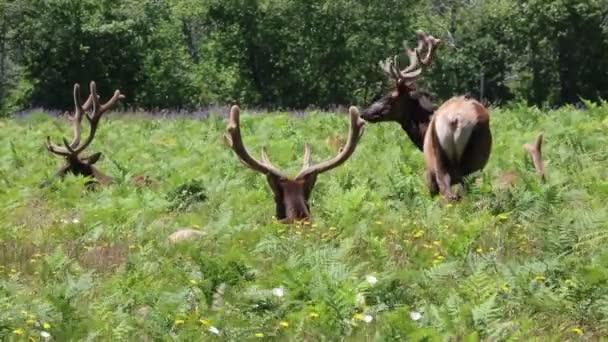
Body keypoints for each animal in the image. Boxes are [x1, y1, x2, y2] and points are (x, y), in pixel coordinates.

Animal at [358, 31, 492, 202]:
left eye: (390, 97)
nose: (364, 112)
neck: (422, 132)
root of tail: (455, 120)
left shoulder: (428, 170)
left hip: (442, 163)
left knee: (447, 193)